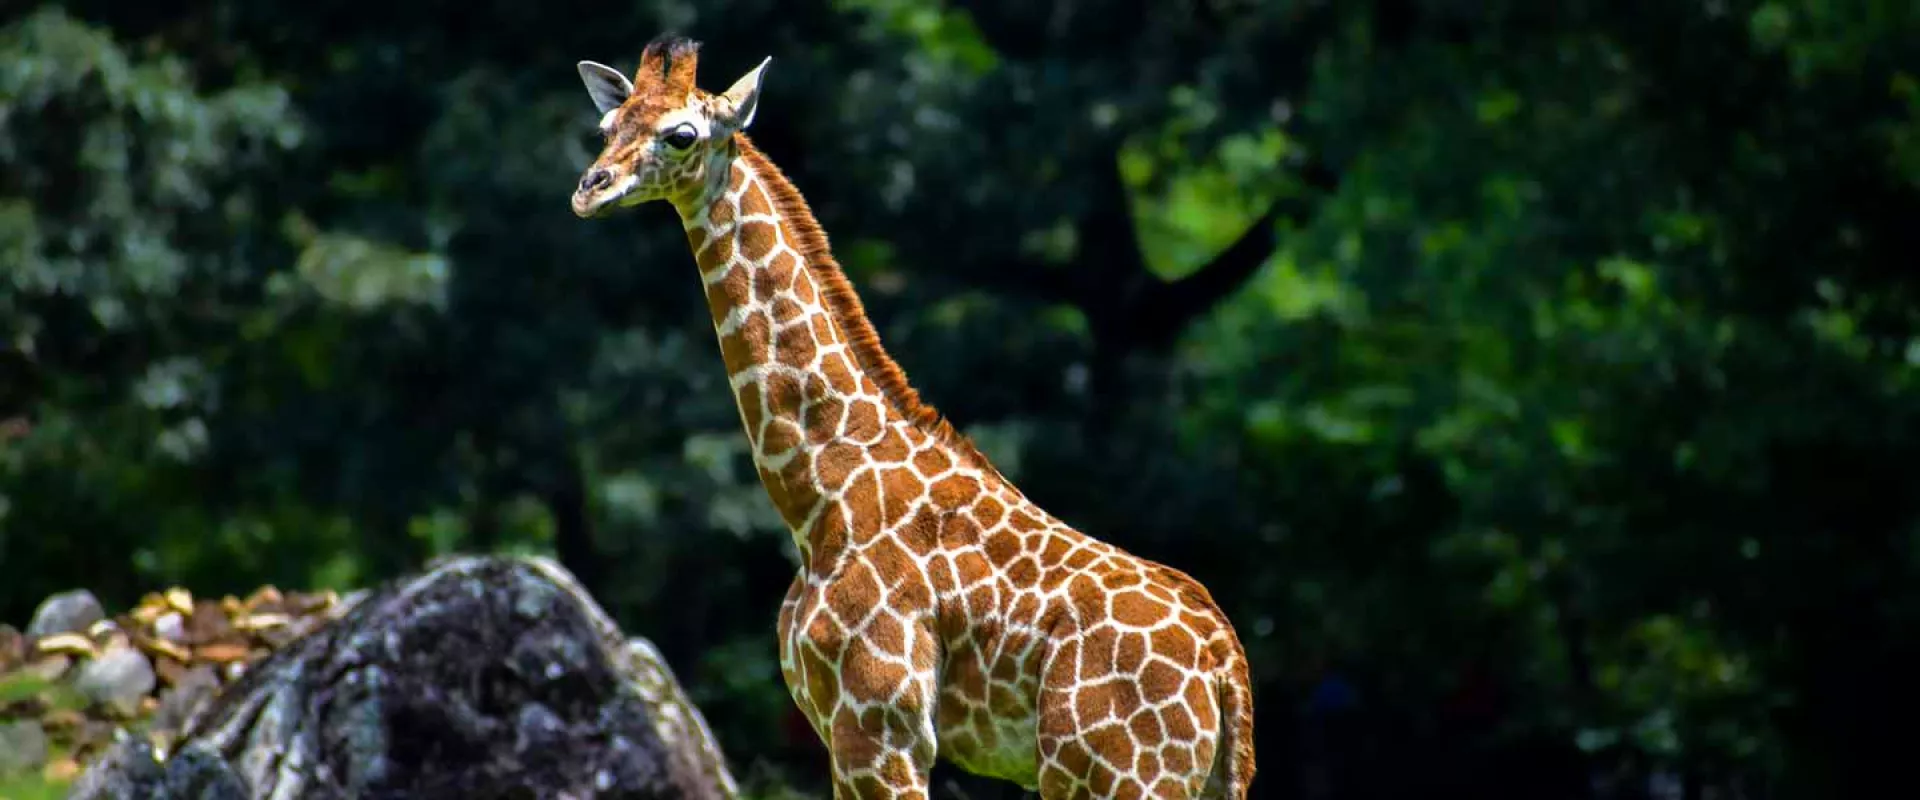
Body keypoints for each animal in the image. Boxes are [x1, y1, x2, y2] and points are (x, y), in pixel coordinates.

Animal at [564, 37, 1259, 798]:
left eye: (681, 134)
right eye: (607, 127)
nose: (589, 189)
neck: (819, 489)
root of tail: (1226, 671)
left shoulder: (881, 726)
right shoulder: (836, 730)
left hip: (1107, 774)